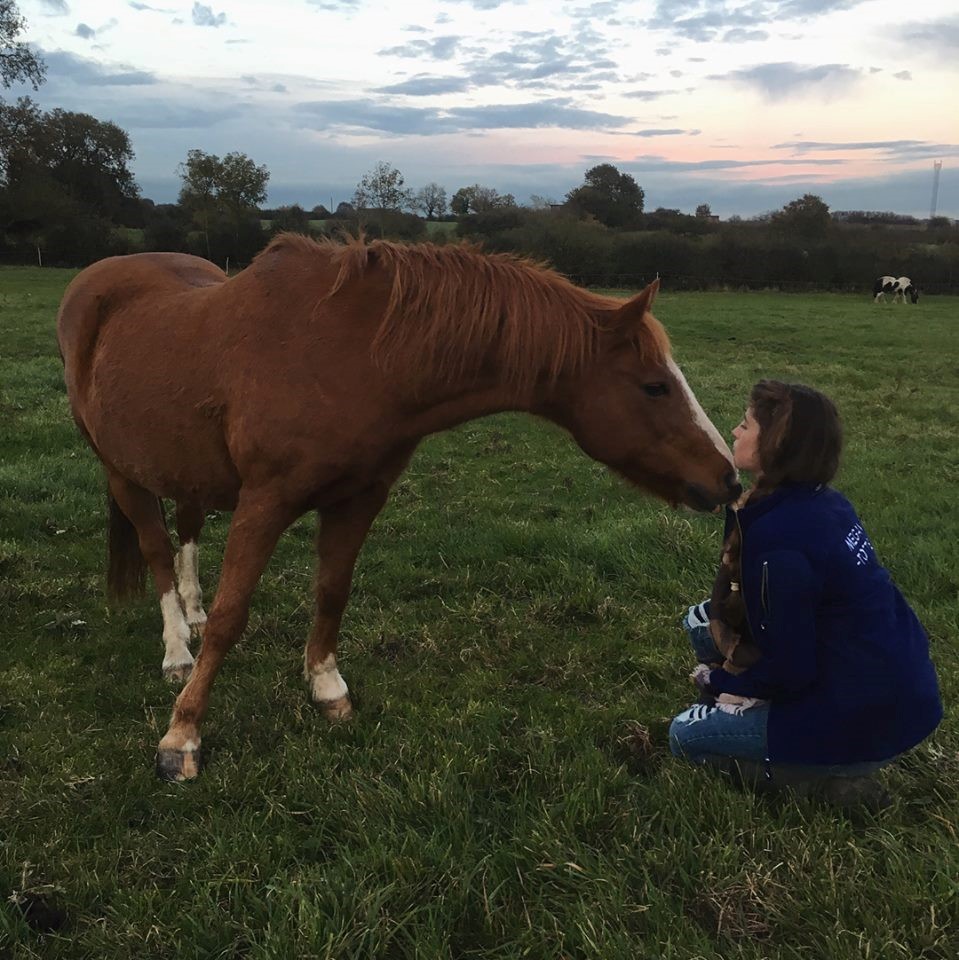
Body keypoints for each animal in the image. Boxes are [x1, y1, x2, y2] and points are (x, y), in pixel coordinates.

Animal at [56, 232, 740, 780]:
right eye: (654, 386)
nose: (729, 478)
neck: (351, 354)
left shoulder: (359, 498)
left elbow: (332, 592)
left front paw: (327, 687)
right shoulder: (266, 499)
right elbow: (232, 615)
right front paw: (182, 736)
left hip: (181, 467)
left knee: (187, 532)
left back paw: (189, 616)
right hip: (121, 471)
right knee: (156, 551)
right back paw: (177, 648)